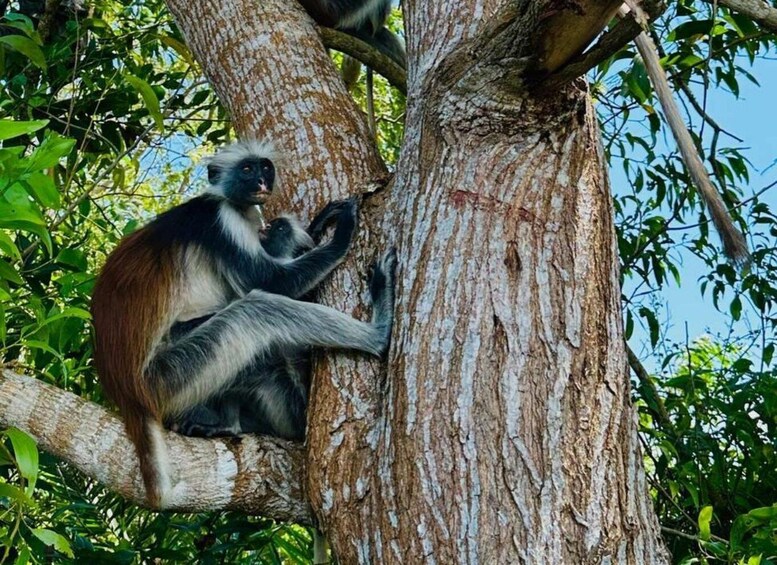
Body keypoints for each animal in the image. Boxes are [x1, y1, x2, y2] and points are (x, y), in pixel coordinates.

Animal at [91, 140, 397, 508]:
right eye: (247, 170)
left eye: (265, 168)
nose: (262, 183)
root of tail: (129, 393)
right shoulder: (221, 221)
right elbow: (272, 282)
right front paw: (342, 232)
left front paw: (317, 224)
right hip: (170, 375)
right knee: (256, 309)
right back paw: (378, 332)